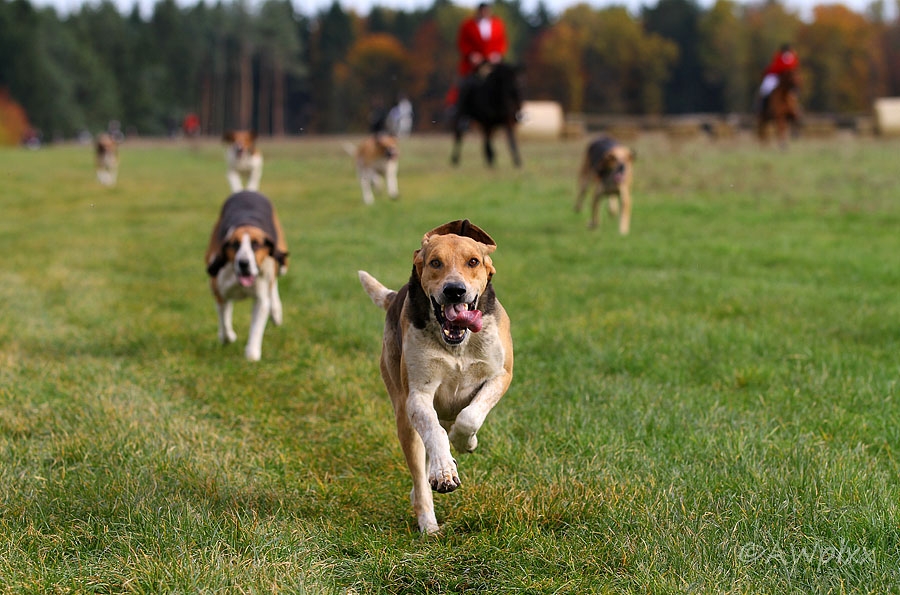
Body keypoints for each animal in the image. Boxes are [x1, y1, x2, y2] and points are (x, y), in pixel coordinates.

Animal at [204, 191, 288, 360]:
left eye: (256, 244)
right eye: (235, 244)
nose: (243, 263)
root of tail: (247, 191)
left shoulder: (261, 299)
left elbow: (256, 326)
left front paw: (252, 354)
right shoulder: (219, 291)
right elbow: (224, 319)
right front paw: (227, 336)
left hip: (282, 264)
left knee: (274, 281)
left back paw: (276, 311)